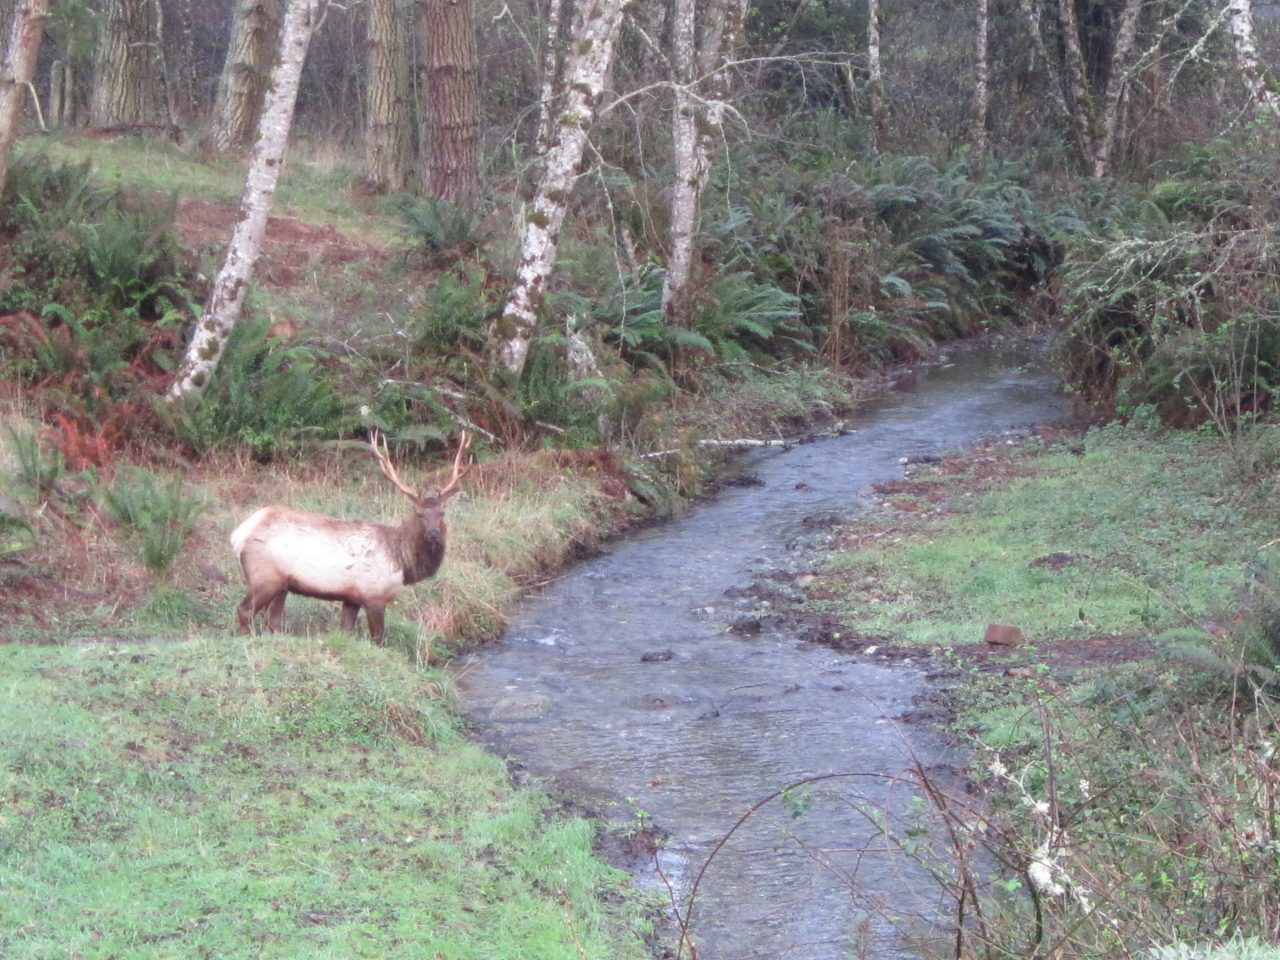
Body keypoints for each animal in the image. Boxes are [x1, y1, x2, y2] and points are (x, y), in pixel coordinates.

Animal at [230, 431, 471, 644]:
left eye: (441, 513)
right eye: (419, 514)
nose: (433, 534)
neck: (403, 563)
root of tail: (238, 534)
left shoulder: (351, 598)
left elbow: (345, 630)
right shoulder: (374, 595)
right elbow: (379, 638)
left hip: (282, 584)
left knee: (274, 621)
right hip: (265, 576)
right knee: (245, 611)